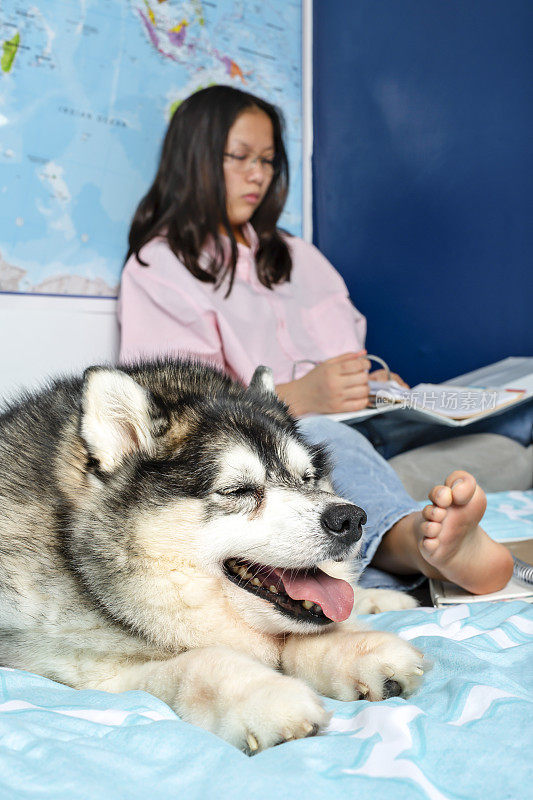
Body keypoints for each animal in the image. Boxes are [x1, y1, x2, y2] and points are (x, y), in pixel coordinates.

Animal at [1, 360, 424, 752]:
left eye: (307, 479)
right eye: (238, 490)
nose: (352, 519)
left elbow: (303, 635)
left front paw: (358, 649)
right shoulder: (86, 674)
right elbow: (200, 662)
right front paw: (268, 698)